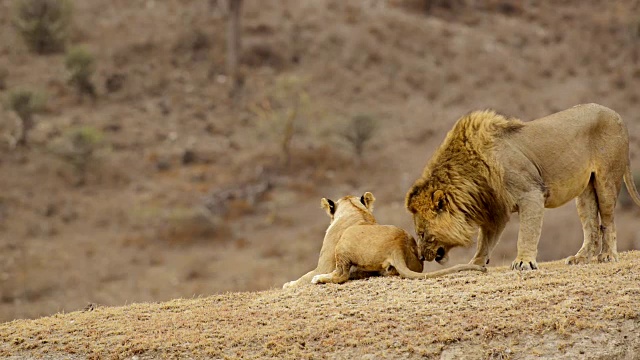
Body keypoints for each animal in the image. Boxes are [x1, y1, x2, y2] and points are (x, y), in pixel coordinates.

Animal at [282, 191, 482, 286]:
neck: (355, 209)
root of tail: (398, 245)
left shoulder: (324, 263)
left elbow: (304, 277)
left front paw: (289, 284)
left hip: (345, 242)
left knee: (341, 275)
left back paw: (320, 279)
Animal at [404, 103, 640, 270]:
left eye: (422, 233)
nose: (422, 256)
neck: (470, 176)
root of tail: (617, 115)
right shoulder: (494, 209)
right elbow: (485, 241)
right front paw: (474, 264)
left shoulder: (531, 193)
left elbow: (527, 232)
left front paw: (524, 262)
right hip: (584, 193)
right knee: (591, 225)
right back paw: (580, 257)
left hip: (607, 180)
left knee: (608, 221)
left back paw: (607, 256)